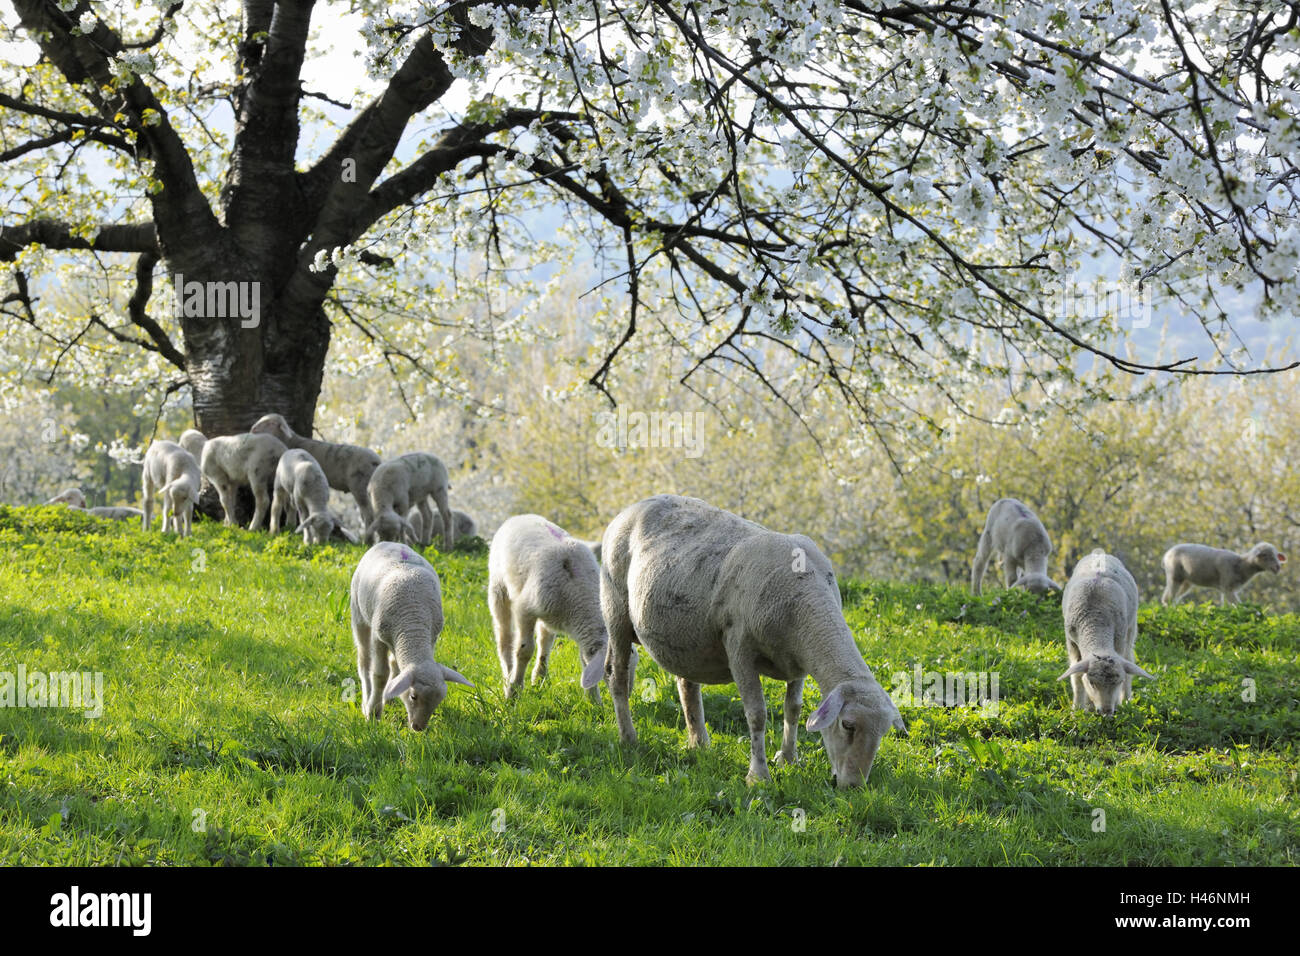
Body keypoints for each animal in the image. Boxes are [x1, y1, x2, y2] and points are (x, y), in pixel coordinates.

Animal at [248, 416, 379, 528]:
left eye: (270, 423)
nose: (252, 429)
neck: (291, 442)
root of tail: (377, 461)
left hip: (359, 485)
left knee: (368, 514)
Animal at [348, 541, 475, 728]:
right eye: (413, 696)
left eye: (439, 700)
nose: (418, 728)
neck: (413, 624)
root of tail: (388, 542)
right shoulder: (379, 638)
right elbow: (380, 674)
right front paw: (373, 713)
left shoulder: (431, 637)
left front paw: (388, 696)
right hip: (359, 615)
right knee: (364, 661)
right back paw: (367, 698)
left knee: (393, 662)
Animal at [488, 515, 608, 702]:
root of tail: (521, 516)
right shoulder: (524, 609)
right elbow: (524, 650)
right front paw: (513, 691)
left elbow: (584, 660)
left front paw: (594, 701)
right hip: (498, 587)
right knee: (504, 636)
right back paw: (508, 674)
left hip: (547, 612)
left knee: (545, 640)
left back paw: (539, 678)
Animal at [598, 496, 904, 790]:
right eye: (848, 725)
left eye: (883, 732)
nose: (854, 786)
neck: (807, 604)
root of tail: (634, 506)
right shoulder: (739, 649)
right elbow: (757, 714)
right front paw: (758, 776)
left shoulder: (798, 662)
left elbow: (793, 708)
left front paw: (788, 759)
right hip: (616, 610)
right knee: (618, 675)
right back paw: (629, 738)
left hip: (686, 634)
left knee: (686, 684)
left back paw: (699, 743)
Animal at [1055, 548, 1159, 712]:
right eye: (1092, 683)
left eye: (1118, 682)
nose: (1106, 711)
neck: (1096, 624)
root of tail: (1100, 553)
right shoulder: (1071, 642)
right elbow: (1077, 677)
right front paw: (1078, 709)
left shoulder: (1119, 638)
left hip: (1131, 627)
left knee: (1129, 658)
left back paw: (1126, 700)